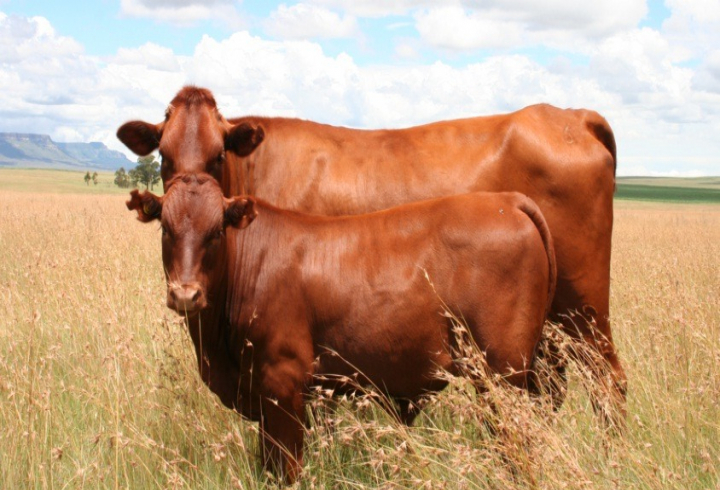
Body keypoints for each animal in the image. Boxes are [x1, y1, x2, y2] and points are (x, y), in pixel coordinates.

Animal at [117, 86, 625, 420]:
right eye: (163, 155)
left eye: (218, 154)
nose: (188, 188)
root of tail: (569, 115)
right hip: (549, 329)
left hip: (584, 310)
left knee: (609, 382)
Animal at [126, 173, 556, 481]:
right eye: (166, 229)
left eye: (217, 231)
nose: (185, 294)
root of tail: (505, 200)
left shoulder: (283, 385)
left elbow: (286, 468)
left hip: (503, 375)